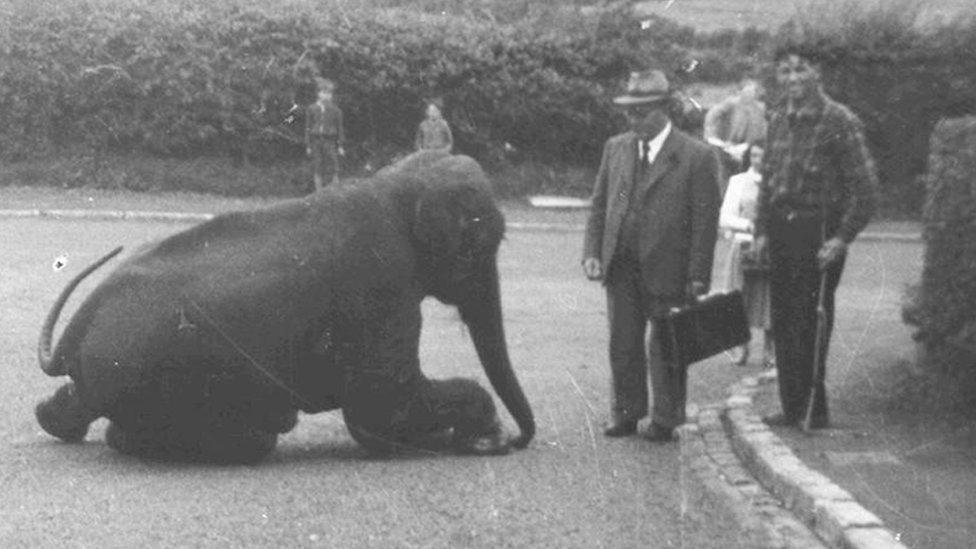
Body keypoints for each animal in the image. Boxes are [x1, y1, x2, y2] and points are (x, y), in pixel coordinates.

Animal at [34, 150, 532, 462]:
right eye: (483, 244)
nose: (517, 441)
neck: (396, 184)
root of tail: (78, 328)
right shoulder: (380, 287)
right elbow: (379, 408)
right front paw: (481, 437)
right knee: (257, 439)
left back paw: (56, 417)